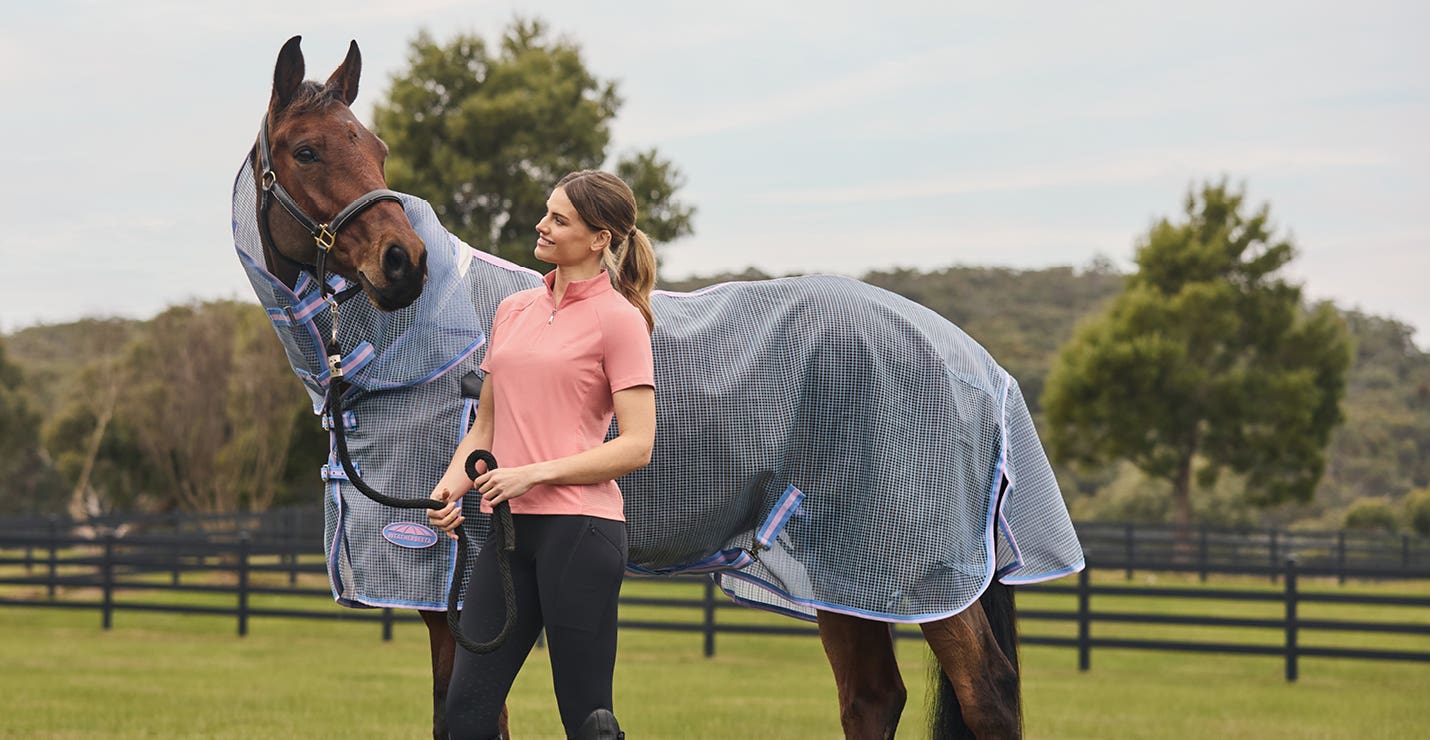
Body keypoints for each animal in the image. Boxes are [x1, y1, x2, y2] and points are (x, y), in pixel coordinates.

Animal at [234, 36, 1081, 738]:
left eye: (373, 149)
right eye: (307, 149)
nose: (402, 264)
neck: (424, 351)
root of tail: (981, 366)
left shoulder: (459, 595)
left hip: (919, 567)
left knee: (986, 693)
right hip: (851, 570)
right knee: (872, 697)